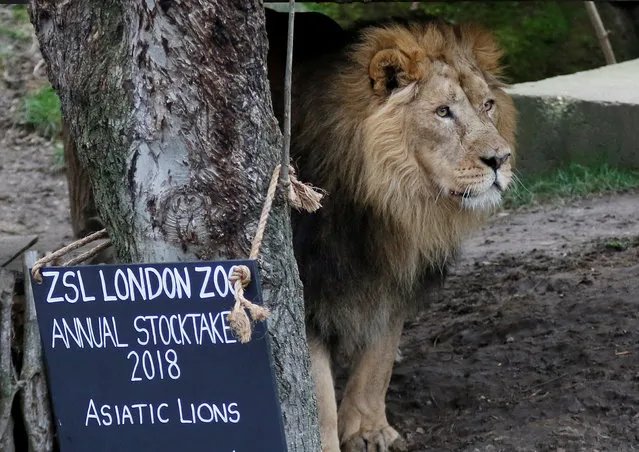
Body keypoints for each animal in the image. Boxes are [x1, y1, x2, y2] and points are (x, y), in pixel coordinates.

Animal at [268, 11, 516, 452]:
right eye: (443, 112)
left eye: (487, 104)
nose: (500, 160)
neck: (388, 205)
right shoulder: (311, 282)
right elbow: (316, 390)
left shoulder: (397, 274)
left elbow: (379, 359)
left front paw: (369, 432)